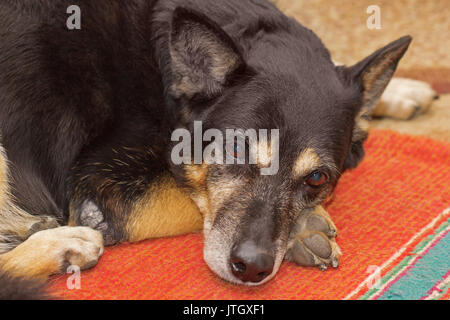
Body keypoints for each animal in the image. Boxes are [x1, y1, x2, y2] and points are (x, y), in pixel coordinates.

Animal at [0, 0, 436, 300]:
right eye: (238, 150)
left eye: (316, 178)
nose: (252, 269)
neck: (162, 65)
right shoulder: (108, 194)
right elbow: (192, 199)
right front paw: (306, 227)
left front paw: (401, 90)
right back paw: (62, 246)